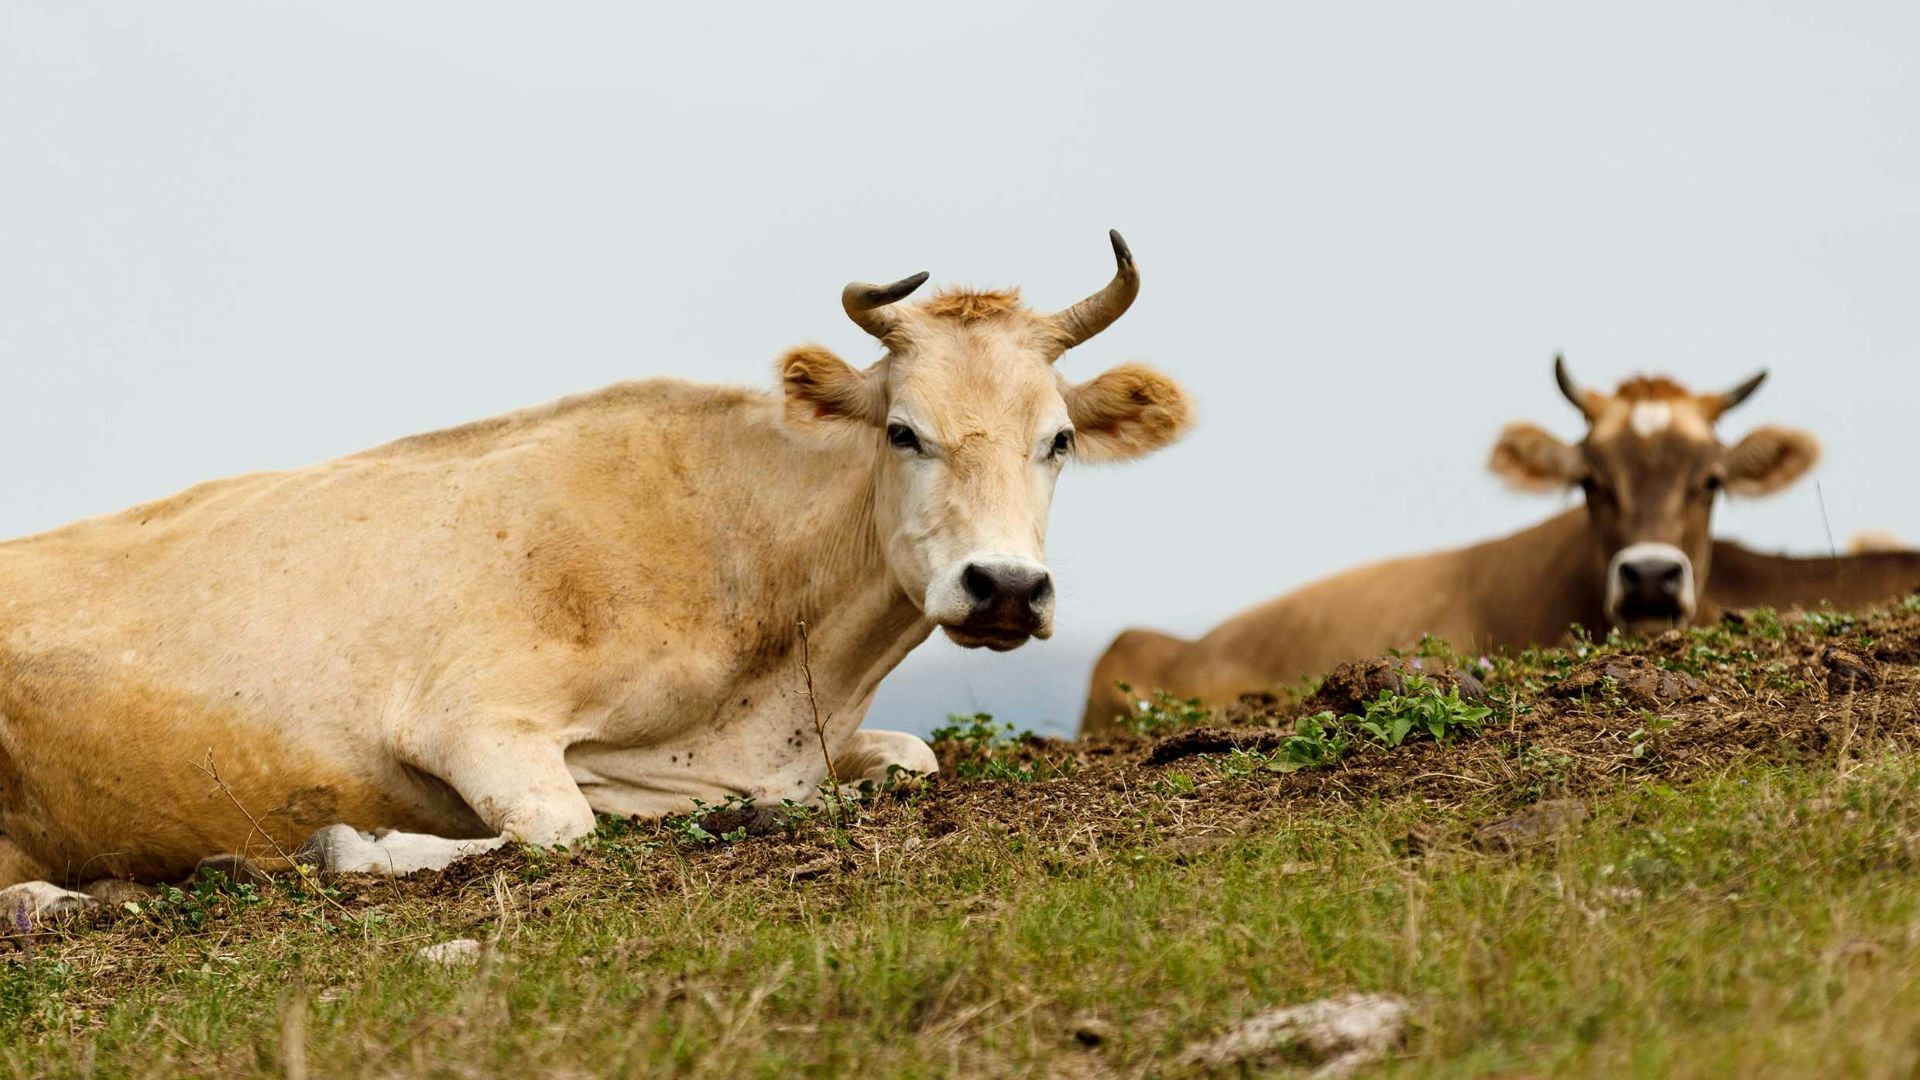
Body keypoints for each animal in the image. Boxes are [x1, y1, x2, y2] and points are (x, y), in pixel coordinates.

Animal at [0, 232, 1193, 916]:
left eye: (1058, 441)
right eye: (904, 431)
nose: (1004, 588)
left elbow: (914, 758)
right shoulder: (480, 720)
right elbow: (571, 827)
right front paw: (353, 843)